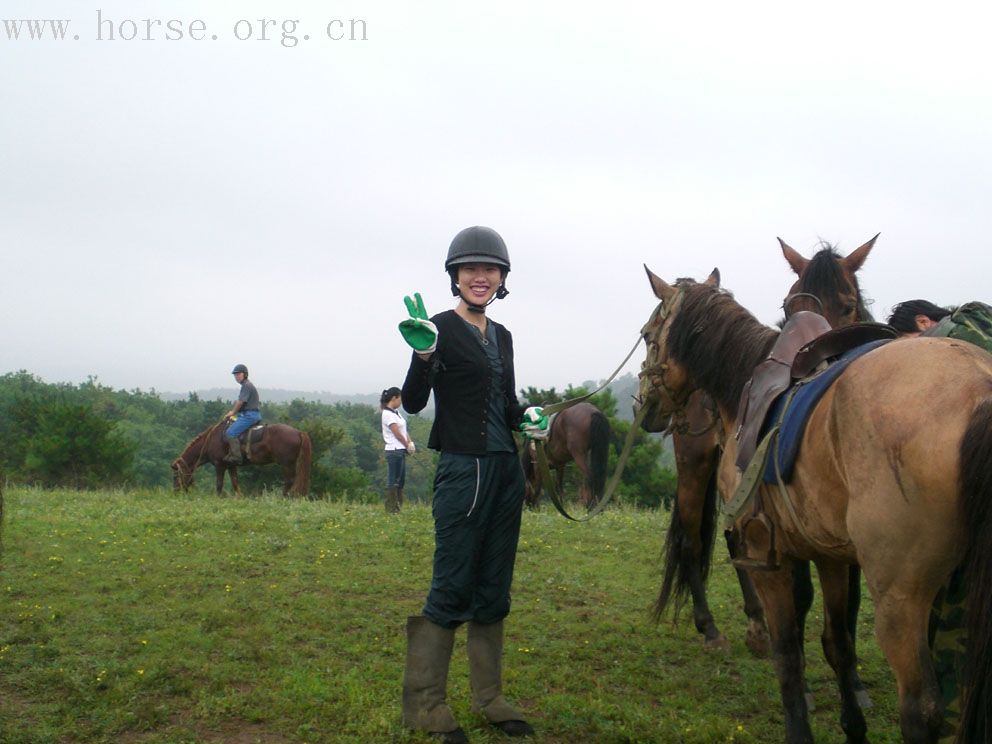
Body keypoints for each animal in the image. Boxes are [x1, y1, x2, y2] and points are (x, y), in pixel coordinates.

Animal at [170, 422, 310, 496]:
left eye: (176, 475)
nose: (176, 492)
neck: (210, 441)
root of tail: (299, 432)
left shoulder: (219, 465)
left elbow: (219, 484)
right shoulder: (231, 466)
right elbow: (235, 483)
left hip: (287, 464)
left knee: (289, 481)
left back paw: (283, 497)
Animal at [636, 268, 992, 744]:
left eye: (647, 335)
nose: (645, 407)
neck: (741, 384)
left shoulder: (769, 555)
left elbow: (788, 654)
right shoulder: (830, 556)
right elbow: (838, 645)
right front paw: (853, 726)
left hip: (901, 596)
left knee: (923, 710)